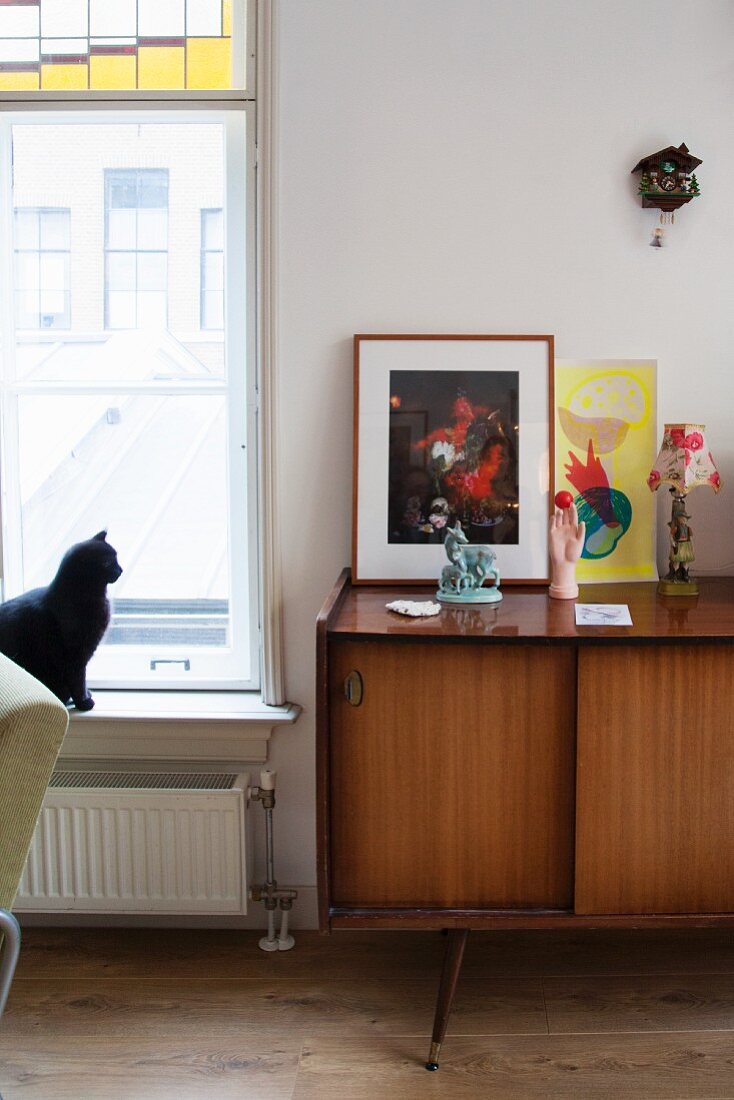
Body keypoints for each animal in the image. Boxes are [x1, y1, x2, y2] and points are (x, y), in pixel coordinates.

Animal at [0, 530, 122, 712]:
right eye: (107, 563)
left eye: (117, 557)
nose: (121, 569)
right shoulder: (75, 653)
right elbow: (78, 679)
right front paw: (84, 702)